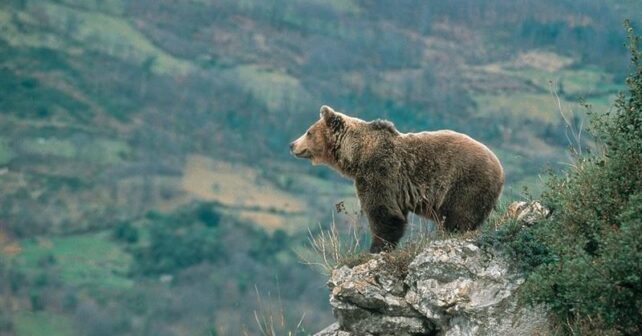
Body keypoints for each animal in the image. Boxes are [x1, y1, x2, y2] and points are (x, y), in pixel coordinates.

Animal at [290, 105, 504, 252]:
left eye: (308, 132)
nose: (292, 144)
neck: (357, 155)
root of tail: (500, 168)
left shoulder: (380, 172)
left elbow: (383, 212)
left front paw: (376, 248)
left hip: (465, 182)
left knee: (459, 216)